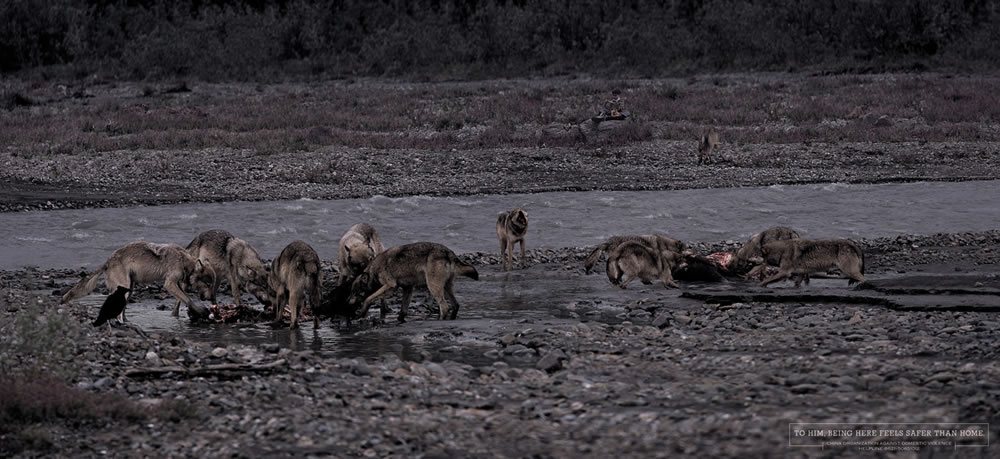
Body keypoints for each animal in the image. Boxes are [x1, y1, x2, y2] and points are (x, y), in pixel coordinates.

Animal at [61, 241, 215, 320]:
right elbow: (188, 299)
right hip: (125, 290)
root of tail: (107, 261)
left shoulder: (176, 284)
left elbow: (184, 298)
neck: (184, 260)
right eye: (208, 284)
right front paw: (201, 312)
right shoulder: (169, 284)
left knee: (122, 311)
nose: (212, 299)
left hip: (130, 289)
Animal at [348, 242, 479, 322]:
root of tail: (449, 252)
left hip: (433, 287)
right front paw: (400, 321)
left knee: (445, 307)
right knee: (455, 305)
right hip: (446, 287)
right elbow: (403, 311)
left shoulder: (391, 286)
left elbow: (369, 298)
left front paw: (361, 313)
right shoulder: (408, 288)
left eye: (355, 292)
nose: (347, 302)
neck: (374, 270)